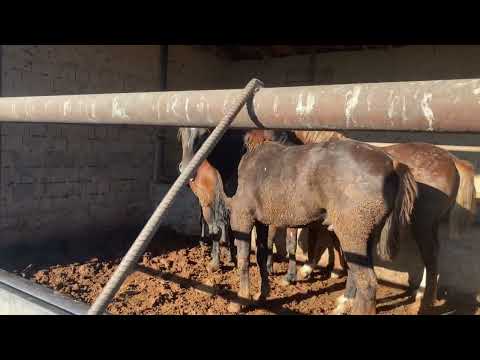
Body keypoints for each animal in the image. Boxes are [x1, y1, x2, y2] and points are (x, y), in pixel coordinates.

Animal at [189, 131, 418, 314]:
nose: (191, 174)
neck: (243, 158)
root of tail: (393, 165)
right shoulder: (262, 222)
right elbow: (262, 256)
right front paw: (262, 295)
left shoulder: (242, 219)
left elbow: (244, 260)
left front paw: (240, 301)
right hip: (365, 238)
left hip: (352, 235)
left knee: (367, 282)